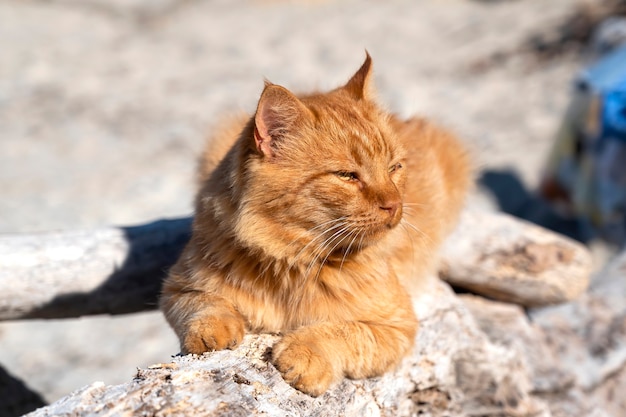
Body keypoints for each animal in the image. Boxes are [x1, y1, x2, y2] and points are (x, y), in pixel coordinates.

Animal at [161, 53, 468, 394]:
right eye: (347, 176)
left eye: (394, 168)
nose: (395, 205)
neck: (294, 260)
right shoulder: (178, 287)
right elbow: (205, 304)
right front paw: (212, 330)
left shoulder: (397, 326)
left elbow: (344, 333)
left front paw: (304, 353)